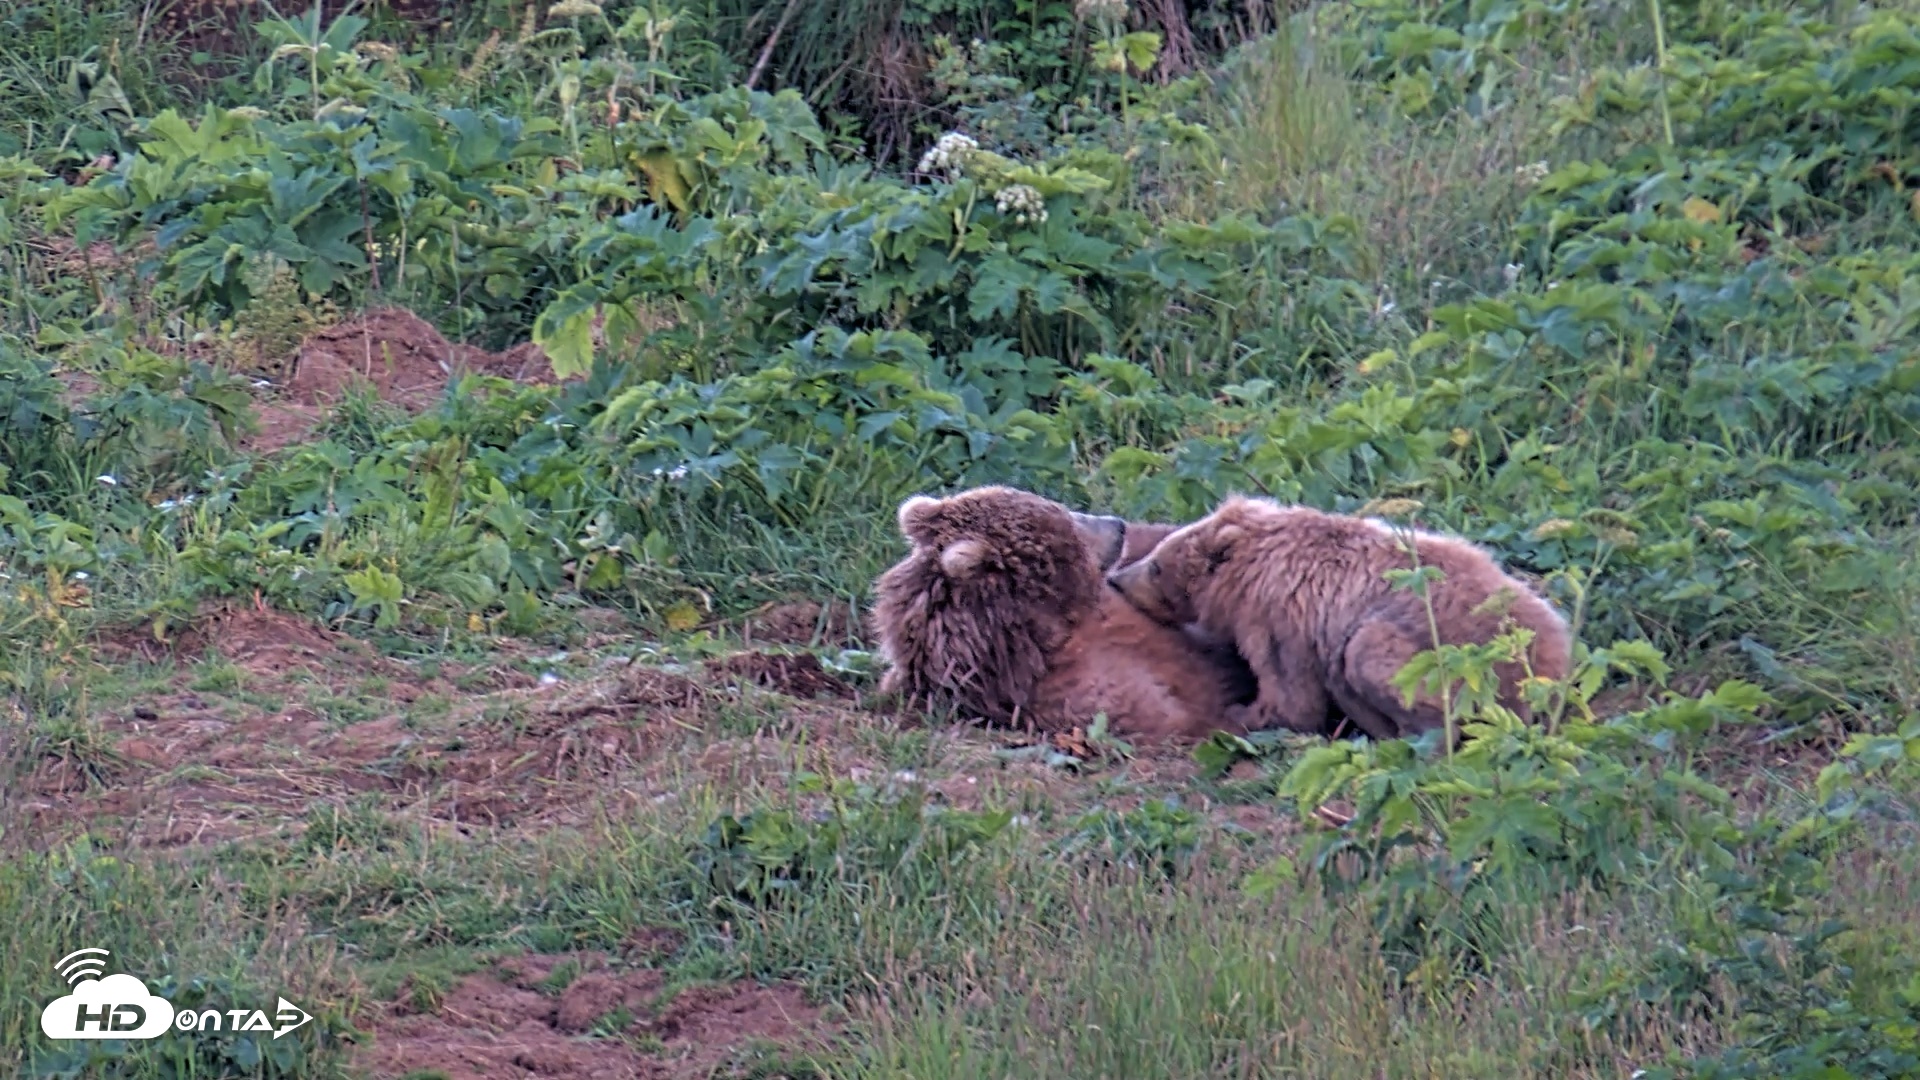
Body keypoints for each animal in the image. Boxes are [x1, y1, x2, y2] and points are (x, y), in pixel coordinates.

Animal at [1104, 495, 1573, 743]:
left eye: (1156, 564)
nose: (1117, 578)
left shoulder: (1278, 617)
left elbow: (1292, 698)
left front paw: (1240, 713)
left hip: (1467, 669)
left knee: (1369, 654)